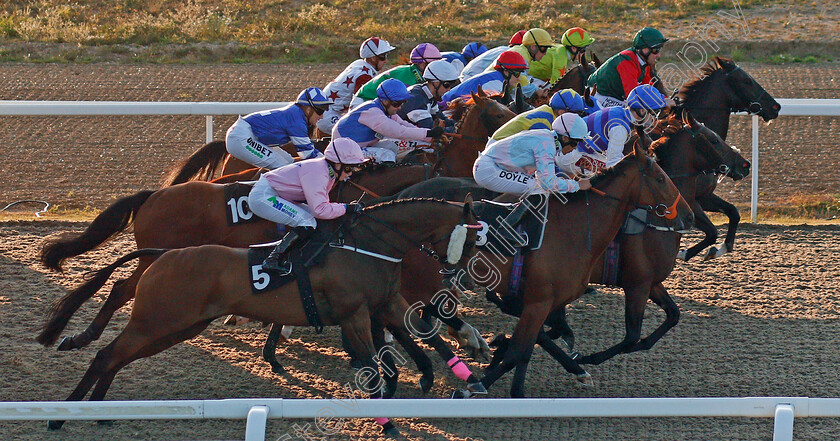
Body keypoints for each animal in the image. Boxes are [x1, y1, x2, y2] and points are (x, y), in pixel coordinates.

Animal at [47, 199, 486, 436]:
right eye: (469, 240)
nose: (458, 275)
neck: (367, 245)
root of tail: (163, 255)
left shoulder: (387, 302)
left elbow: (430, 336)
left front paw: (471, 380)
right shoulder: (354, 315)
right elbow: (372, 370)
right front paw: (387, 422)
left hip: (175, 327)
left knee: (116, 357)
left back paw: (100, 413)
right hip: (155, 321)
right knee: (107, 355)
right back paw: (61, 417)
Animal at [676, 56, 780, 260]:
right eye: (747, 80)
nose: (776, 106)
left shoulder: (705, 196)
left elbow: (733, 212)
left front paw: (720, 249)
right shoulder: (691, 199)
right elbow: (711, 231)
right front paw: (684, 252)